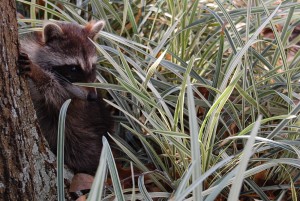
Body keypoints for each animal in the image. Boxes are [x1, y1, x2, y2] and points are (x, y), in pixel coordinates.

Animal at [18, 20, 112, 174]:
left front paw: (39, 74)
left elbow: (54, 92)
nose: (93, 97)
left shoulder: (71, 103)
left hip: (84, 137)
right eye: (73, 68)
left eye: (92, 67)